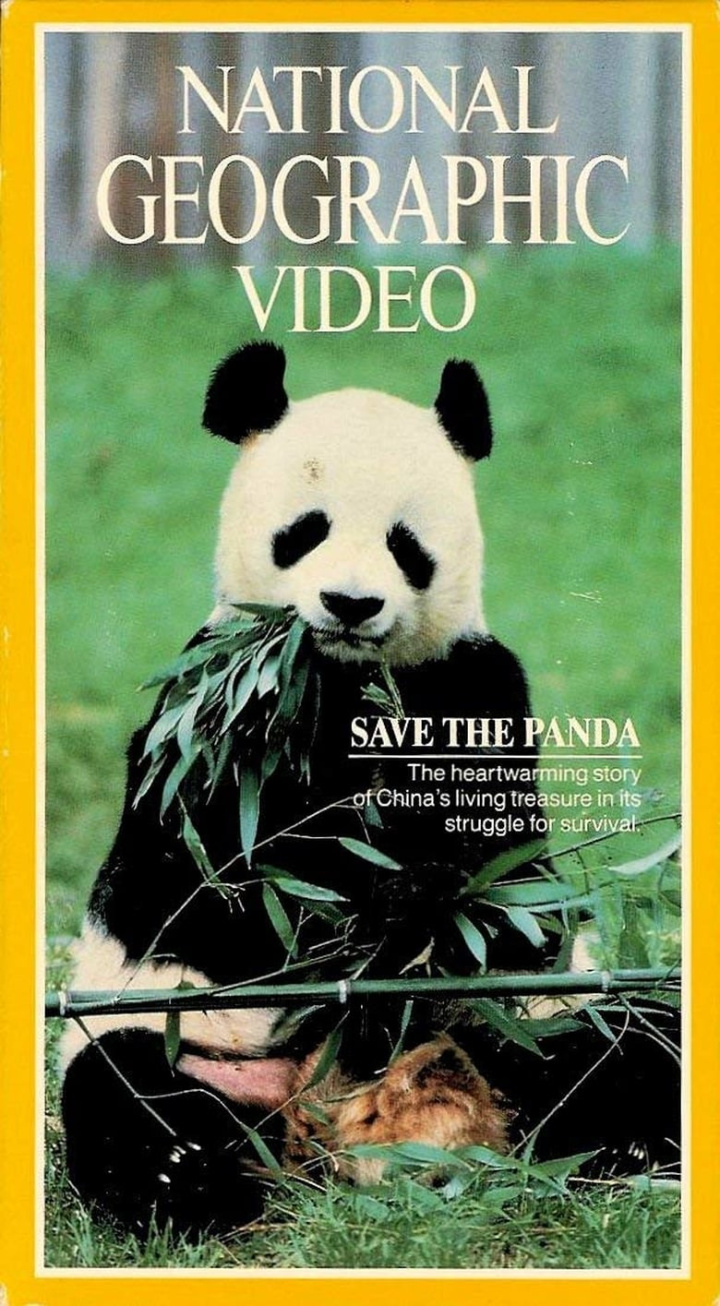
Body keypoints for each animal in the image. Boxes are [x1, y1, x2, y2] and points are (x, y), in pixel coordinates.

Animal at [59, 342, 680, 1237]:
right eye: (305, 531)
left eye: (405, 545)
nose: (350, 603)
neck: (349, 679)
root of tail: (337, 1128)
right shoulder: (211, 711)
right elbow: (201, 890)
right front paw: (369, 906)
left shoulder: (474, 687)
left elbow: (521, 892)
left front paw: (423, 901)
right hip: (183, 1030)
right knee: (127, 1088)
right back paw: (191, 1175)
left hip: (529, 1020)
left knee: (627, 1045)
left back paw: (629, 1142)